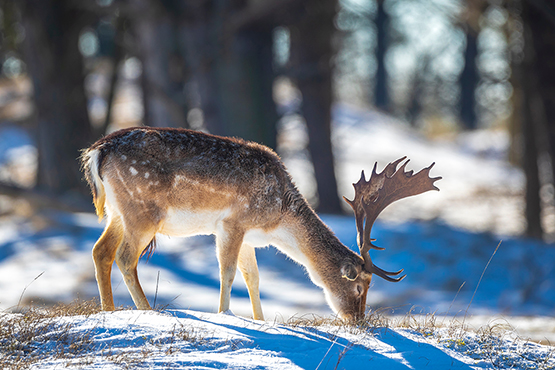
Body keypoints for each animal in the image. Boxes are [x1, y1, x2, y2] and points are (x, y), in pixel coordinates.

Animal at [80, 128, 440, 320]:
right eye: (361, 286)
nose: (358, 320)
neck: (278, 219)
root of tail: (97, 151)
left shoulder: (250, 238)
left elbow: (253, 278)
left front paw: (260, 321)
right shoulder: (232, 222)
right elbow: (227, 272)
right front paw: (225, 315)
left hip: (117, 212)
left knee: (101, 251)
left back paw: (108, 312)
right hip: (143, 210)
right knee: (125, 256)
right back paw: (148, 311)